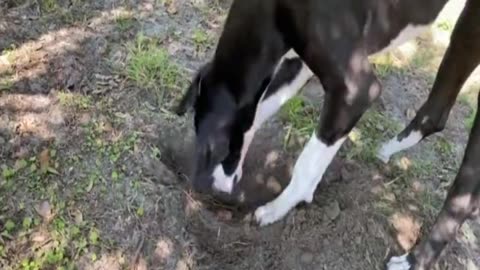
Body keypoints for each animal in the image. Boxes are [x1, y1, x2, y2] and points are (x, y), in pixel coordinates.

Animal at [176, 0, 480, 268]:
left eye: (214, 148)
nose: (202, 190)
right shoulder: (294, 65)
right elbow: (259, 113)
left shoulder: (355, 91)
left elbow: (309, 161)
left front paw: (280, 207)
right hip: (465, 33)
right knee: (436, 113)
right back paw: (387, 151)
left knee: (464, 195)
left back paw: (414, 261)